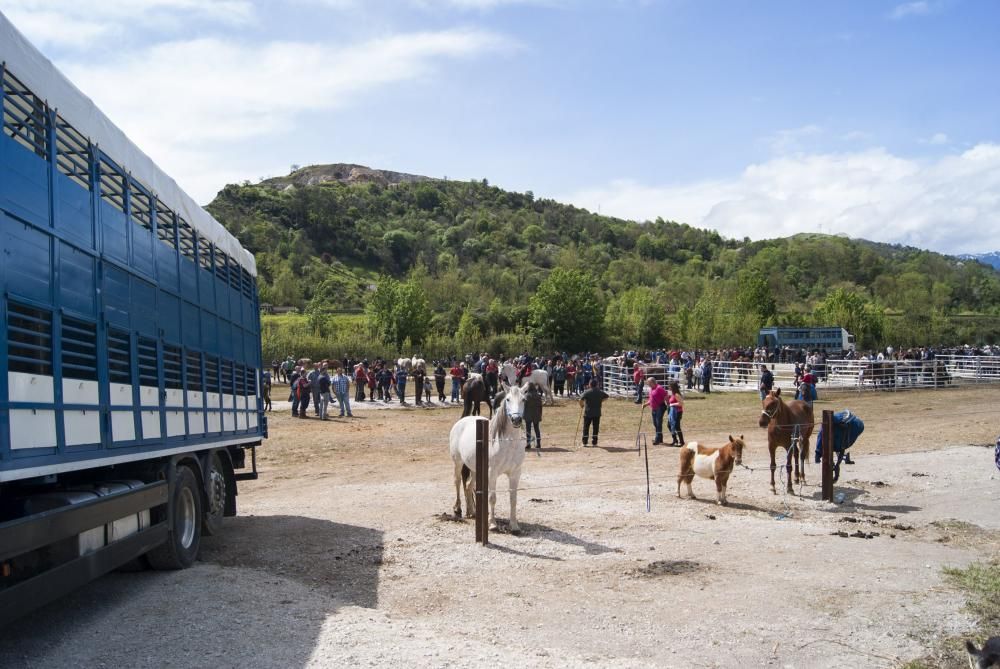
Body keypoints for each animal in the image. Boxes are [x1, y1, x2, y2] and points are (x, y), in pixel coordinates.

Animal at [452, 384, 528, 528]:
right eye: (508, 399)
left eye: (524, 400)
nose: (516, 419)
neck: (508, 443)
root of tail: (463, 420)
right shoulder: (492, 473)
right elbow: (492, 498)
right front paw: (492, 523)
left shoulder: (515, 473)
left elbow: (513, 499)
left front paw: (514, 525)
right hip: (458, 463)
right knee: (458, 482)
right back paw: (458, 509)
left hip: (475, 469)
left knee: (469, 486)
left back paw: (473, 512)